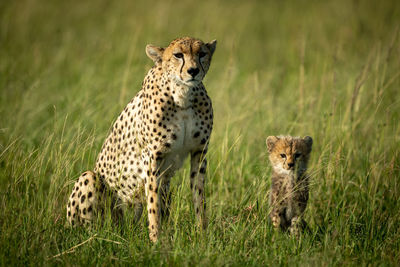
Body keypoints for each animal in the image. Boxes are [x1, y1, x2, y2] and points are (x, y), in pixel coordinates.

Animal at [66, 37, 216, 243]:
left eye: (201, 54)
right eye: (178, 55)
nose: (193, 71)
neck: (183, 95)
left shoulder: (199, 153)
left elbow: (199, 197)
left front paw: (203, 236)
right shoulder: (151, 156)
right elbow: (153, 204)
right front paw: (156, 240)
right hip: (91, 181)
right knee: (89, 229)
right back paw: (95, 238)